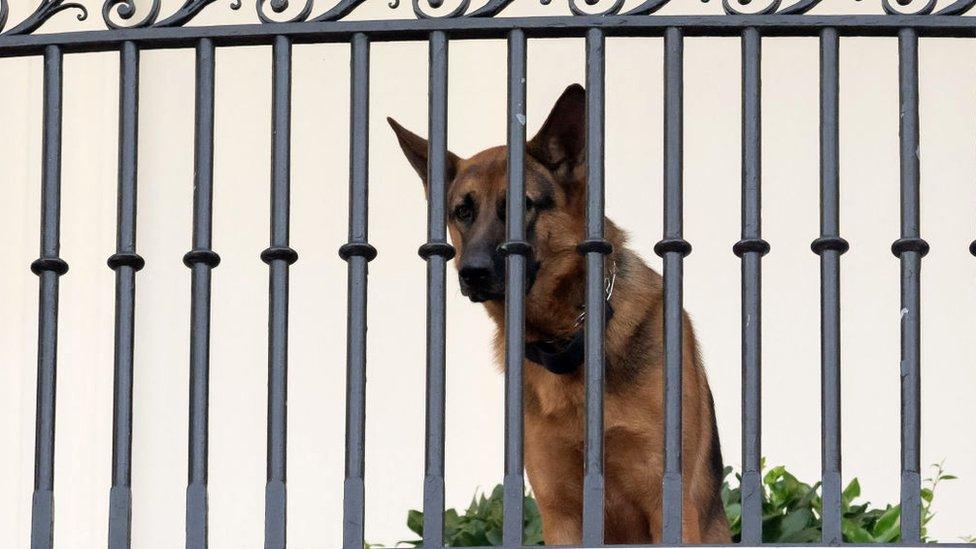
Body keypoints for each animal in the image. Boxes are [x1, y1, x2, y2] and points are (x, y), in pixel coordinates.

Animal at [386, 84, 728, 544]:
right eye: (463, 211)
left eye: (522, 205)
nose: (471, 273)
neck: (567, 338)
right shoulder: (560, 513)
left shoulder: (667, 504)